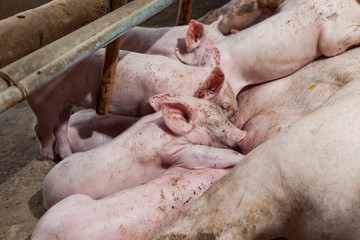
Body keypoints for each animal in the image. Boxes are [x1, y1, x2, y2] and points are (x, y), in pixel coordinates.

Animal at [26, 49, 238, 160]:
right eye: (224, 106)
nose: (239, 120)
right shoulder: (147, 104)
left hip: (65, 103)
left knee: (60, 126)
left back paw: (66, 155)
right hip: (45, 105)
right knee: (39, 128)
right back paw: (48, 157)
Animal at [41, 94, 245, 209]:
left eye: (221, 112)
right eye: (211, 124)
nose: (242, 134)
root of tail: (44, 190)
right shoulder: (176, 152)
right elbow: (207, 154)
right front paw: (243, 156)